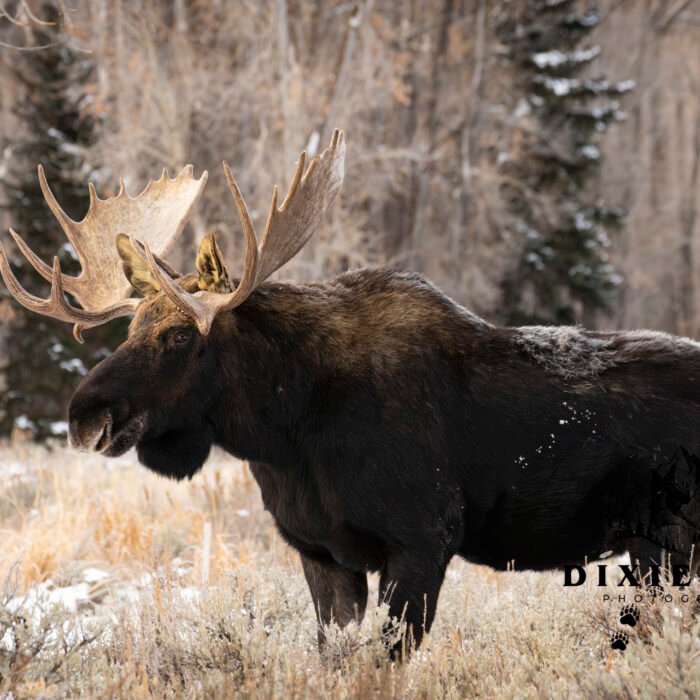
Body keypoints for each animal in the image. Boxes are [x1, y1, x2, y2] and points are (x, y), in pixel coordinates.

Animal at [1, 131, 698, 657]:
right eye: (130, 329)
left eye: (177, 335)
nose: (84, 417)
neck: (284, 434)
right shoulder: (322, 553)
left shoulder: (422, 541)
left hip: (670, 546)